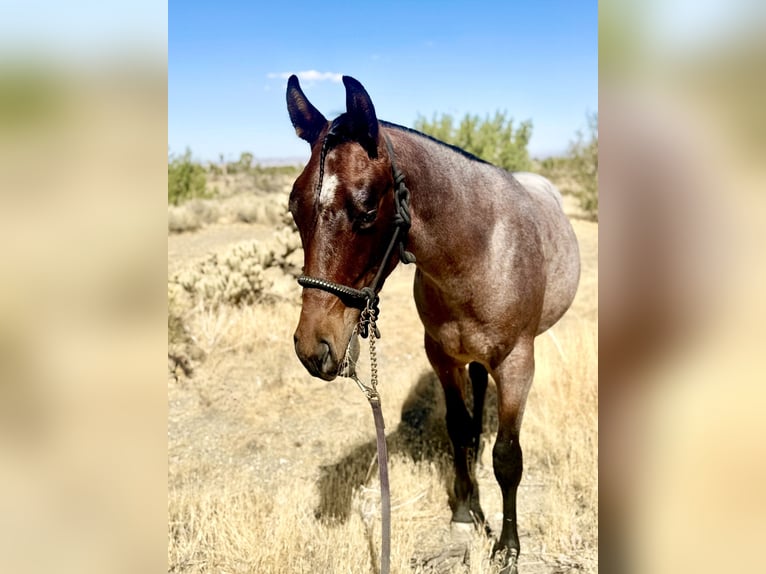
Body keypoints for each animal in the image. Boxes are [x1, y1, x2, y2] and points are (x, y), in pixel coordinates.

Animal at [285, 74, 580, 574]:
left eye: (367, 210)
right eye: (294, 207)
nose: (313, 348)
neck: (479, 252)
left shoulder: (517, 364)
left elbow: (508, 457)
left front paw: (507, 546)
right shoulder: (441, 355)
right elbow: (457, 430)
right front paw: (465, 510)